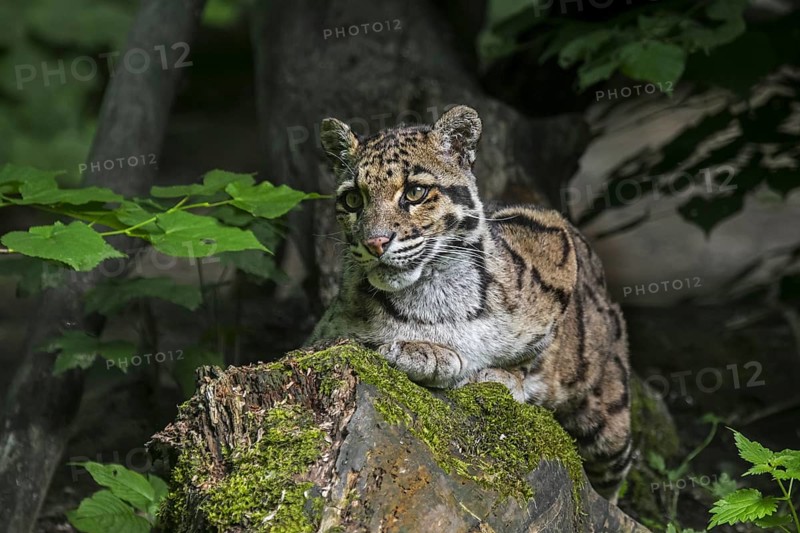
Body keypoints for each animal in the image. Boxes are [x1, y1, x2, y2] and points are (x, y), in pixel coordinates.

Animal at [308, 105, 632, 502]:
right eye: (353, 199)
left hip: (610, 422)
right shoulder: (326, 333)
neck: (432, 288)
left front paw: (496, 372)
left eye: (415, 192)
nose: (375, 242)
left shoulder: (556, 242)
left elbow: (534, 356)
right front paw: (429, 352)